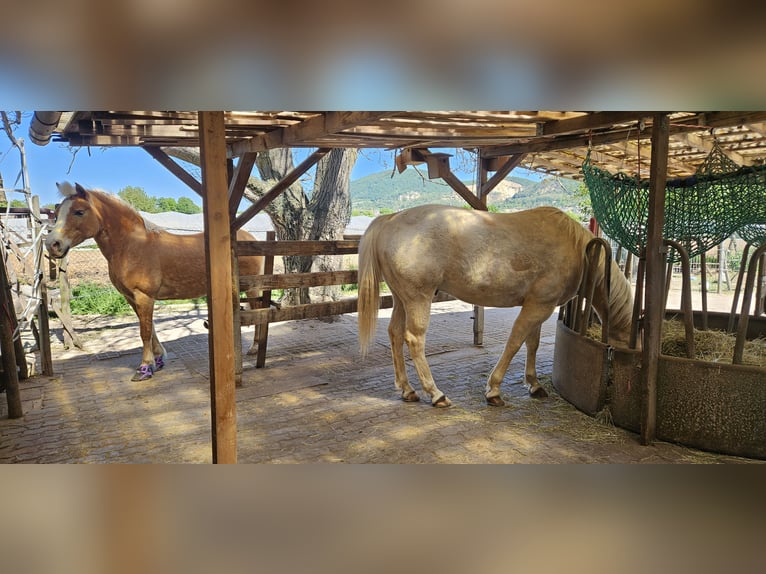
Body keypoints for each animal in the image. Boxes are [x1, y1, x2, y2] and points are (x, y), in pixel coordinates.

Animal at [45, 182, 265, 381]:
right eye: (56, 213)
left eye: (79, 212)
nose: (52, 244)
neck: (132, 246)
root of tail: (248, 236)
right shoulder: (131, 297)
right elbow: (150, 330)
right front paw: (158, 360)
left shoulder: (144, 296)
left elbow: (145, 332)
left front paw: (144, 368)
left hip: (252, 287)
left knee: (258, 313)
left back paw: (254, 348)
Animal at [357, 204, 634, 407]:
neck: (577, 250)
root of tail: (390, 220)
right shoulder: (538, 307)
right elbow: (514, 343)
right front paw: (494, 390)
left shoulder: (539, 306)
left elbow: (532, 344)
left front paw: (534, 384)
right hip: (418, 298)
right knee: (414, 339)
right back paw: (436, 394)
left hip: (401, 299)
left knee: (395, 334)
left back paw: (407, 390)